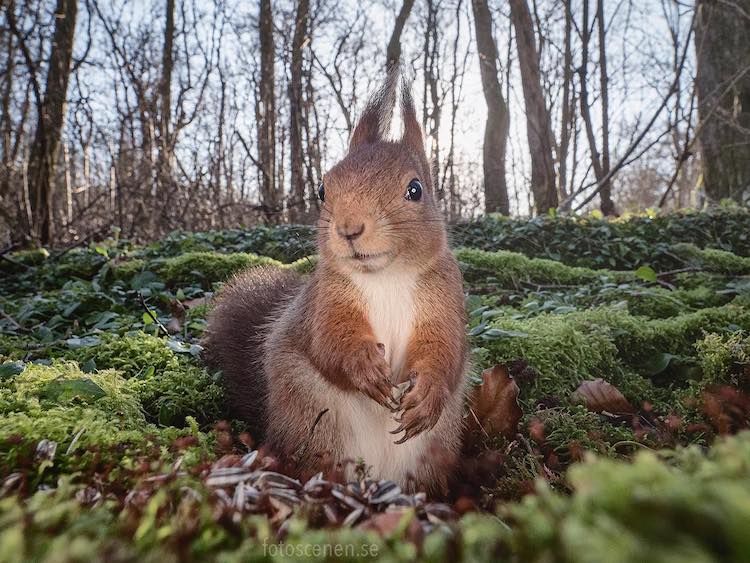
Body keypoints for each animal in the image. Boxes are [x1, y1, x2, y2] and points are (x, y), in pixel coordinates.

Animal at [203, 71, 468, 494]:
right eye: (323, 188)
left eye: (415, 189)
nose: (349, 228)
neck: (386, 277)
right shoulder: (324, 300)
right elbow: (329, 341)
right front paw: (365, 368)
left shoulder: (446, 297)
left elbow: (445, 348)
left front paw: (428, 393)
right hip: (316, 424)